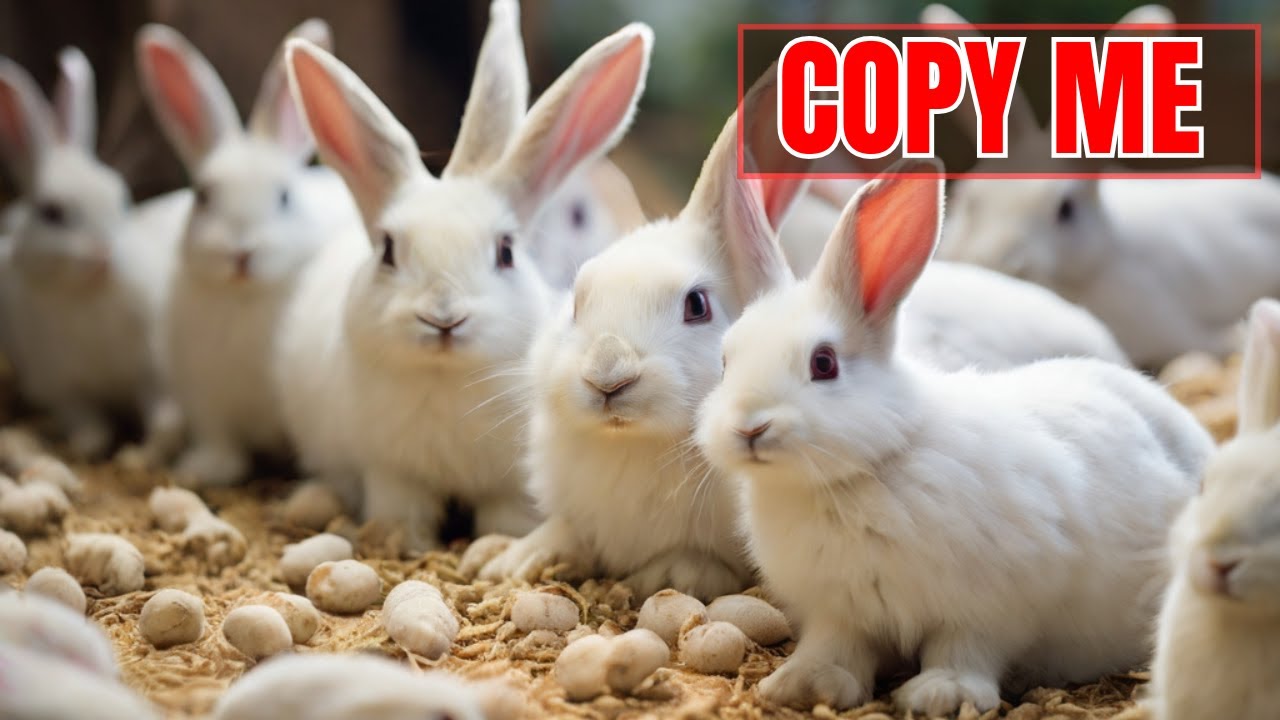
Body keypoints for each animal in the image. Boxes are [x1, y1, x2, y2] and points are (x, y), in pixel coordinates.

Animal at [0, 48, 186, 461]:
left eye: (120, 198)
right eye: (52, 213)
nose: (103, 255)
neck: (87, 297)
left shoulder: (152, 373)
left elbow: (163, 423)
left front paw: (139, 457)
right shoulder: (62, 389)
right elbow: (90, 428)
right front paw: (85, 449)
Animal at [136, 20, 361, 486]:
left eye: (284, 197)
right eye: (203, 197)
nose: (241, 253)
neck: (243, 296)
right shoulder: (205, 400)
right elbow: (219, 442)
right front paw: (206, 468)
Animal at [276, 3, 653, 551]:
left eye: (506, 251)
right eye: (388, 251)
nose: (443, 316)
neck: (444, 377)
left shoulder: (509, 484)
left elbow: (504, 517)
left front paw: (500, 540)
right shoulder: (392, 473)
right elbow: (401, 510)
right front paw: (403, 540)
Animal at [695, 162, 1214, 715]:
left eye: (824, 363)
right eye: (724, 361)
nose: (749, 427)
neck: (868, 469)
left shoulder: (989, 605)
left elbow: (965, 649)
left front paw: (942, 694)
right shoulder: (838, 610)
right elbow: (836, 647)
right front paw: (803, 683)